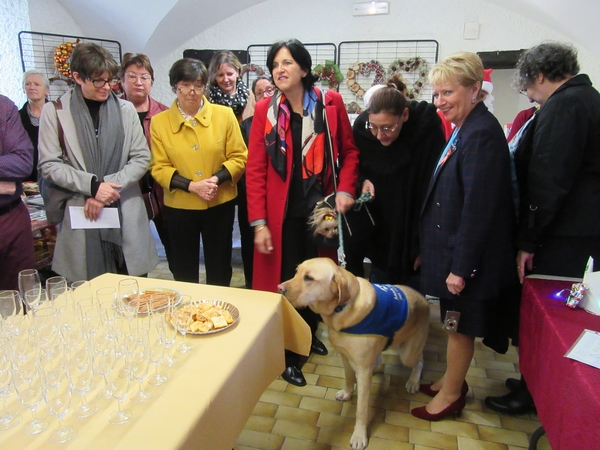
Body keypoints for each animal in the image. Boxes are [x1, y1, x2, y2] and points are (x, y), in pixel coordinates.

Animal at [278, 256, 428, 450]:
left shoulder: (363, 370)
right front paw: (348, 393)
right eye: (297, 272)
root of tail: (423, 298)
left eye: (309, 278)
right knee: (379, 359)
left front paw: (359, 436)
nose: (279, 288)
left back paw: (413, 382)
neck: (341, 308)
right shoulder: (345, 356)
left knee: (420, 361)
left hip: (408, 354)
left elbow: (361, 410)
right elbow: (349, 378)